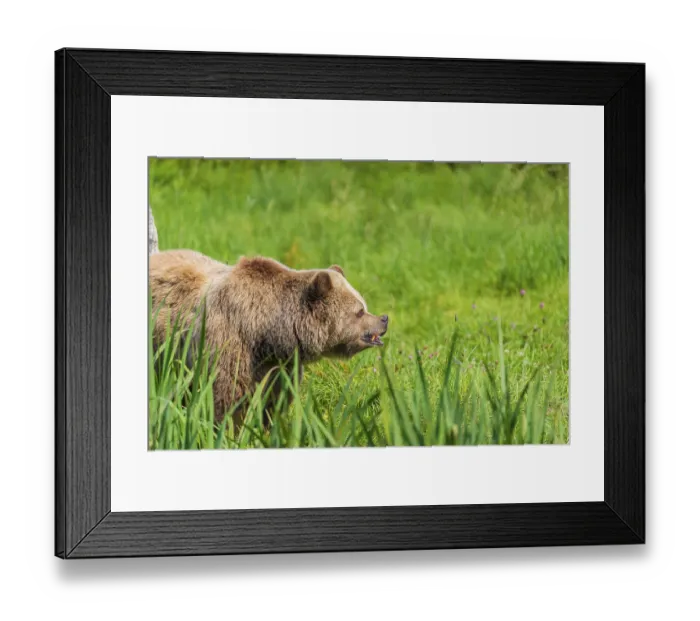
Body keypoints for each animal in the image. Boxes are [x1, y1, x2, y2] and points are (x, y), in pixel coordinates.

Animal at [149, 249, 389, 428]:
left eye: (364, 305)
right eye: (359, 311)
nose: (384, 319)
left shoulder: (279, 365)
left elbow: (273, 401)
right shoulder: (230, 344)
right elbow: (228, 398)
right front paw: (232, 430)